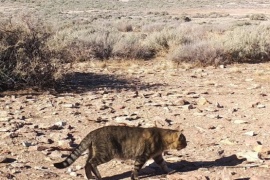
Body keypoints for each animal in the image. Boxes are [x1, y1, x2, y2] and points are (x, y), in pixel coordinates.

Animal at [53, 126, 187, 179]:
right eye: (184, 141)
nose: (187, 144)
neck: (161, 137)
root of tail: (93, 132)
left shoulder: (157, 156)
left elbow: (164, 164)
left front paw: (169, 170)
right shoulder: (142, 156)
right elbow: (136, 168)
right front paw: (135, 177)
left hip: (94, 151)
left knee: (87, 163)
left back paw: (90, 177)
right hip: (105, 154)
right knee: (91, 163)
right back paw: (97, 176)